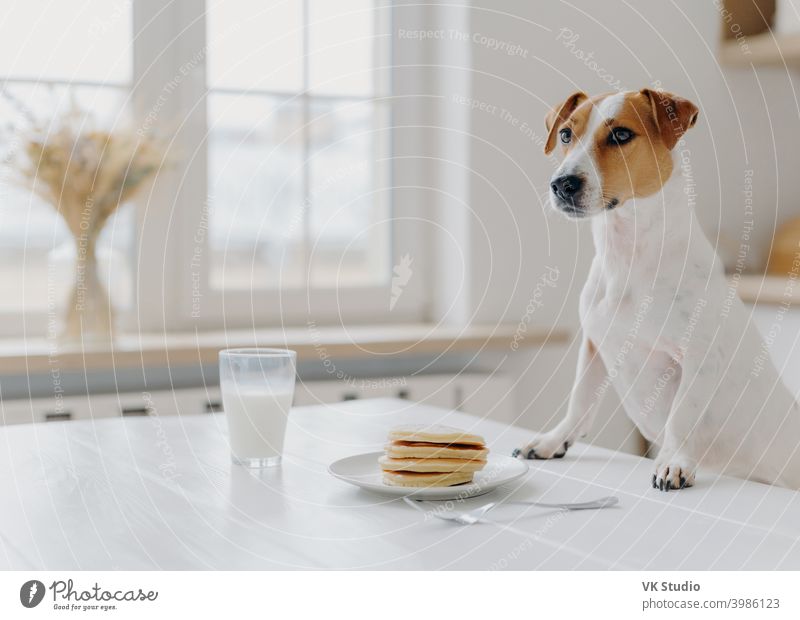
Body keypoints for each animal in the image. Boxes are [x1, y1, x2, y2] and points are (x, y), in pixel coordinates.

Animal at [512, 89, 800, 492]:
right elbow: (580, 400)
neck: (628, 256)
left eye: (620, 135)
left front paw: (674, 461)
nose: (562, 184)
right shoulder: (594, 345)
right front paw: (554, 441)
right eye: (567, 134)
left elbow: (682, 414)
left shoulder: (698, 358)